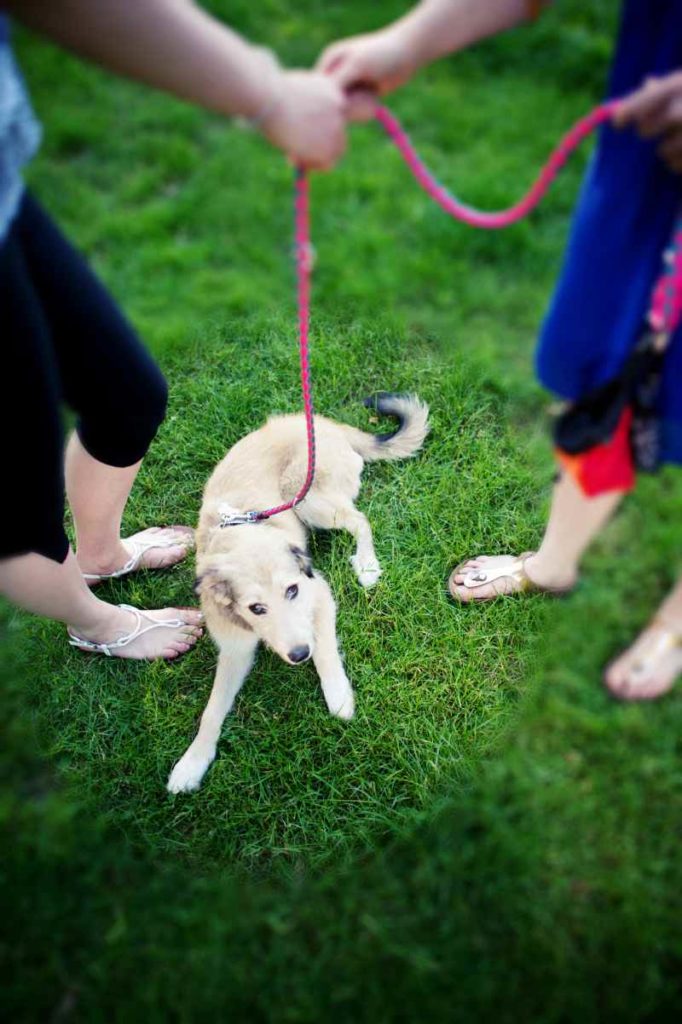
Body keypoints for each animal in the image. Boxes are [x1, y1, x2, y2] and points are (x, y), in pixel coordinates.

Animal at [166, 391, 428, 790]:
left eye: (292, 591)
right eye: (255, 608)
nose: (299, 655)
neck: (241, 533)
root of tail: (323, 423)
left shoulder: (318, 594)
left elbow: (327, 652)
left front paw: (338, 697)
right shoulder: (235, 648)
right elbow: (211, 711)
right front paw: (192, 763)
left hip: (309, 501)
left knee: (360, 520)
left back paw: (367, 565)